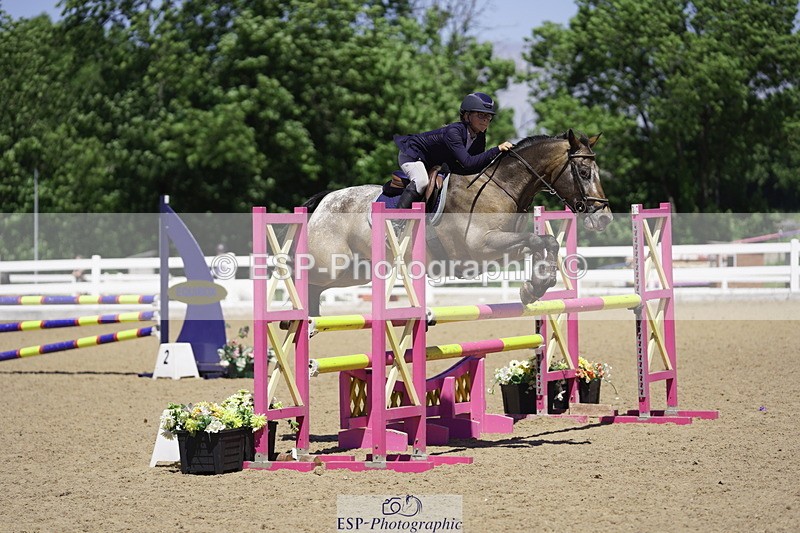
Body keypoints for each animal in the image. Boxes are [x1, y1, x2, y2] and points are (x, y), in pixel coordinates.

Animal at [300, 129, 611, 316]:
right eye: (584, 172)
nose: (604, 217)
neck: (500, 186)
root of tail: (325, 199)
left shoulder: (501, 250)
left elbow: (544, 242)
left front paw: (535, 286)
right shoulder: (480, 247)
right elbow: (537, 240)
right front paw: (534, 286)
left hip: (354, 271)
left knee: (316, 289)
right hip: (331, 264)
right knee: (304, 277)